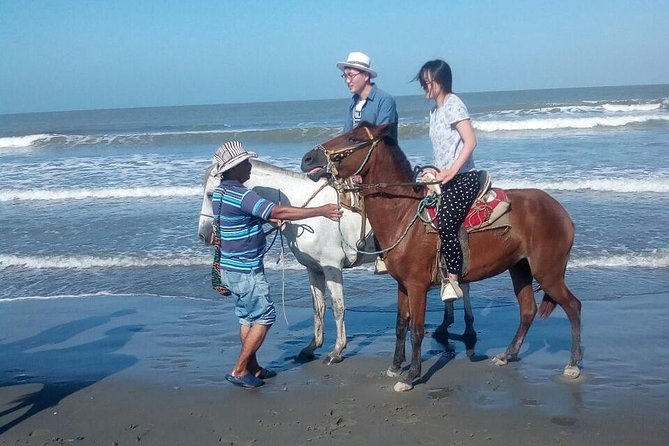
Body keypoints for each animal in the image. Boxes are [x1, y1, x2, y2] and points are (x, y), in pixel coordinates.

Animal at [197, 159, 470, 364]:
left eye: (211, 194)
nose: (204, 235)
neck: (307, 213)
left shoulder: (332, 267)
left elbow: (338, 307)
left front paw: (337, 350)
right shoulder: (313, 269)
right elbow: (318, 307)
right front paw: (311, 347)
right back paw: (448, 326)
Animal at [300, 122, 580, 390]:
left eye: (354, 138)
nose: (307, 158)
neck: (404, 213)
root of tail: (561, 211)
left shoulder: (417, 286)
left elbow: (416, 330)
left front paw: (411, 375)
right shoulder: (402, 285)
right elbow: (400, 325)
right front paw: (395, 367)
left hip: (548, 272)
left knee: (573, 306)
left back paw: (573, 364)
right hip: (520, 268)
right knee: (528, 310)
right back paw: (507, 355)